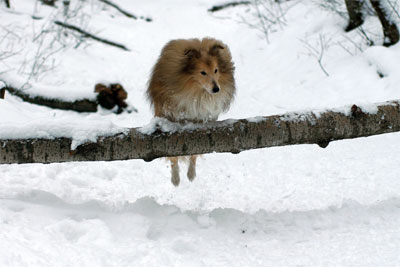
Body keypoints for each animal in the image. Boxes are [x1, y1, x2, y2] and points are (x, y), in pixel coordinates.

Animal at [146, 37, 234, 186]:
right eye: (203, 72)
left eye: (216, 70)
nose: (216, 89)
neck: (196, 89)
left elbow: (194, 153)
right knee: (173, 158)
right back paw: (175, 179)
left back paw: (191, 174)